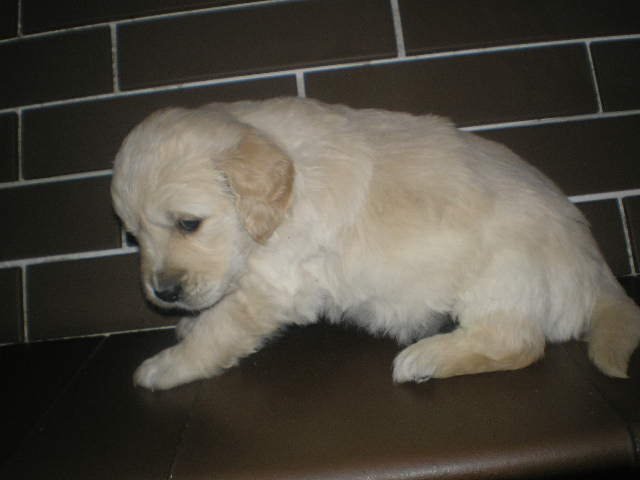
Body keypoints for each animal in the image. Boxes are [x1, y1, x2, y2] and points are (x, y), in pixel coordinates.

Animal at [111, 96, 640, 390]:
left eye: (189, 224)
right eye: (133, 236)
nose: (162, 293)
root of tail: (597, 270)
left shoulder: (272, 287)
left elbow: (218, 331)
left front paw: (165, 366)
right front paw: (186, 325)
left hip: (502, 273)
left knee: (518, 342)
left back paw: (426, 358)